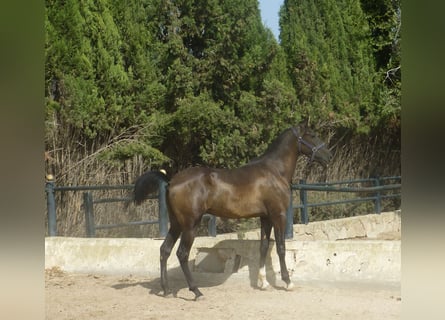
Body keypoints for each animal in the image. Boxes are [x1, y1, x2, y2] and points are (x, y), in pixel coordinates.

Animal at [134, 122, 332, 300]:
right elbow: (281, 248)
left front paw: (263, 283)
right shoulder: (278, 215)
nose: (328, 156)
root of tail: (171, 182)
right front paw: (288, 282)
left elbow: (263, 247)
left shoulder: (265, 218)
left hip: (176, 224)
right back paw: (197, 292)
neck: (274, 171)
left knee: (165, 250)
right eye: (312, 135)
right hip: (190, 225)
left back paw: (167, 290)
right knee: (181, 254)